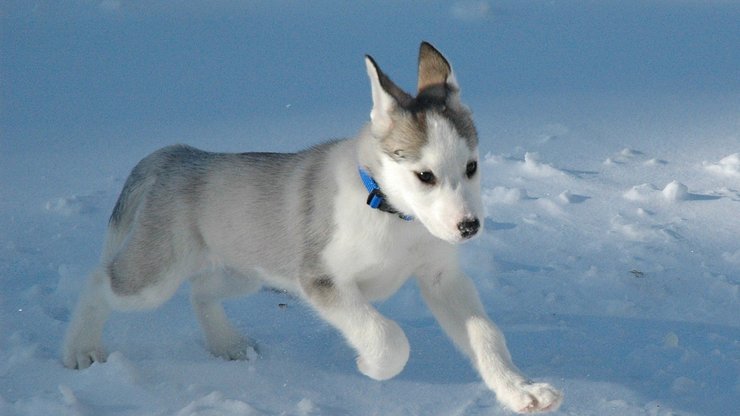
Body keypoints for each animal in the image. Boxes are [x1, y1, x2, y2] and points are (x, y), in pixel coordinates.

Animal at [63, 41, 560, 412]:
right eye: (425, 176)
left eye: (472, 167)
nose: (469, 227)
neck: (391, 214)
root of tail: (178, 154)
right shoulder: (320, 279)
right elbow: (387, 336)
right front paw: (370, 367)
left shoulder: (442, 278)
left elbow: (486, 335)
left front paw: (521, 391)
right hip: (156, 275)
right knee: (99, 281)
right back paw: (80, 350)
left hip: (245, 268)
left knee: (200, 290)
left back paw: (227, 345)